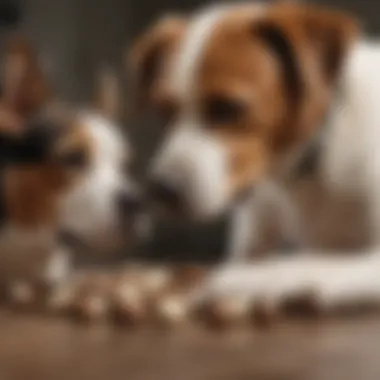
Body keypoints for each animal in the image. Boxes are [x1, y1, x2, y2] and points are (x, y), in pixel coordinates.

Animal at [130, 1, 380, 314]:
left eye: (227, 108)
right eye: (164, 110)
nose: (161, 190)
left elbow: (298, 268)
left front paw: (235, 282)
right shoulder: (256, 228)